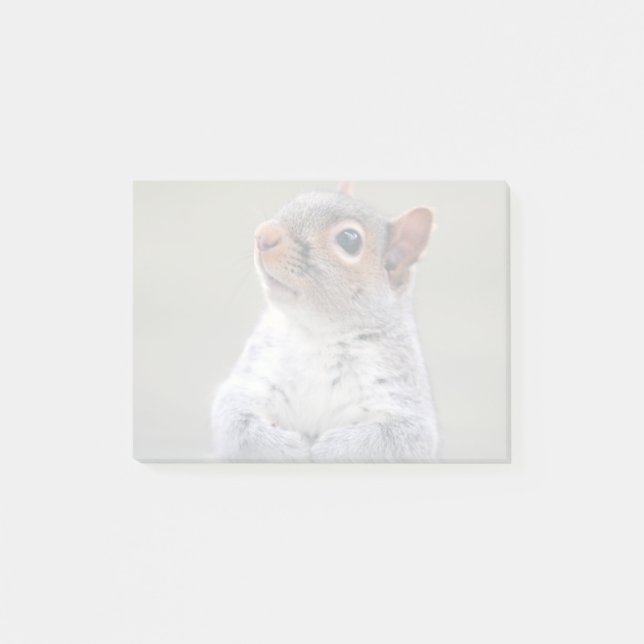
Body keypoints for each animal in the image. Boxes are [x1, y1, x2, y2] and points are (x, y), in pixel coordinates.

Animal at [211, 184, 439, 462]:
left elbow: (396, 440)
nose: (263, 234)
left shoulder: (401, 397)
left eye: (350, 239)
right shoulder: (253, 377)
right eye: (299, 199)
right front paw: (289, 447)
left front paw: (328, 450)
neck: (316, 334)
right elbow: (234, 421)